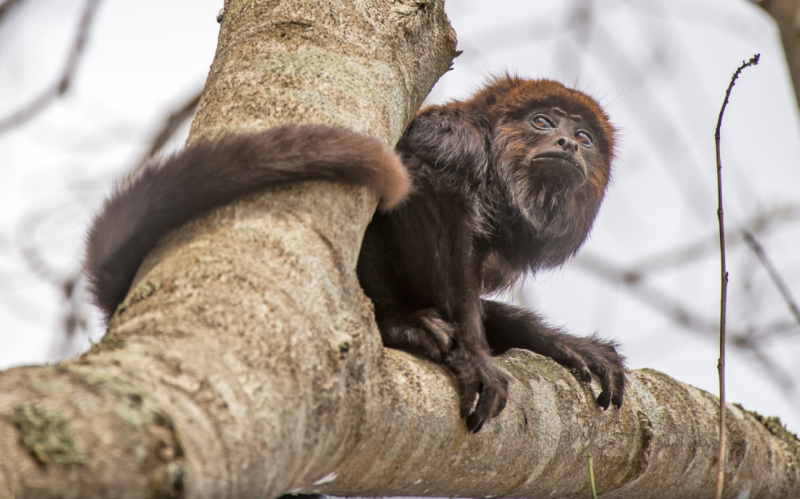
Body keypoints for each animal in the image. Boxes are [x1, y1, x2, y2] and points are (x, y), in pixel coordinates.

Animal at [85, 75, 625, 433]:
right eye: (541, 121)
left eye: (585, 138)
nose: (567, 144)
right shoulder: (453, 140)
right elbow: (428, 189)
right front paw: (473, 355)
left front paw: (563, 344)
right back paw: (399, 325)